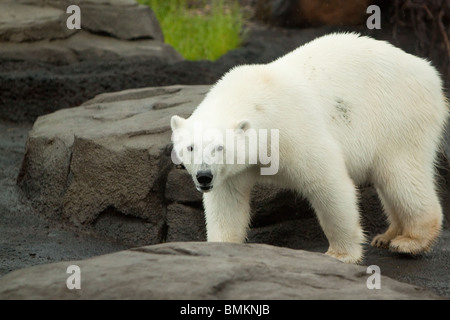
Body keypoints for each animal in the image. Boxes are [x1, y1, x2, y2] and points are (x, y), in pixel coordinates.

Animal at [169, 32, 446, 264]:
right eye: (191, 148)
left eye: (219, 148)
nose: (204, 176)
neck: (256, 100)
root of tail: (429, 71)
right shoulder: (231, 172)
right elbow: (227, 201)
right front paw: (219, 247)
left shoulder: (292, 129)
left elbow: (328, 184)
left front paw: (340, 254)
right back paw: (387, 236)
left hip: (398, 116)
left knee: (402, 176)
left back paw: (410, 241)